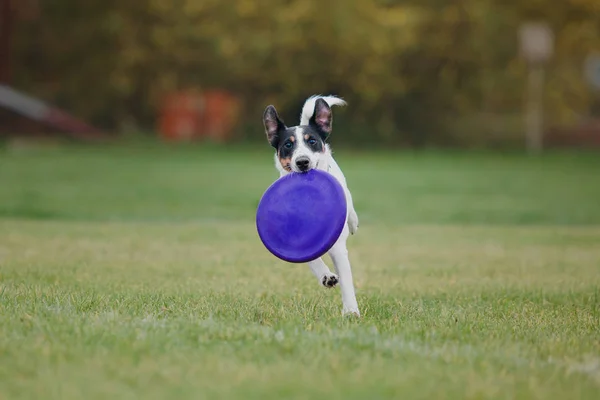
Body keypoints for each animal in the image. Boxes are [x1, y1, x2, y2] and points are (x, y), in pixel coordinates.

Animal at [264, 95, 358, 318]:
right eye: (288, 145)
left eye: (312, 141)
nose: (302, 161)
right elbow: (311, 259)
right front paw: (326, 276)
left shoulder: (337, 246)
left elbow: (346, 279)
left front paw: (351, 311)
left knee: (350, 210)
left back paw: (353, 222)